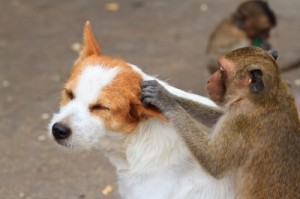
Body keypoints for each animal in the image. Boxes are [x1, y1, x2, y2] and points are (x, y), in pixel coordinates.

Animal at [141, 47, 300, 199]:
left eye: (222, 70)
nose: (209, 80)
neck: (266, 97)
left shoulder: (239, 120)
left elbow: (213, 163)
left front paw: (165, 100)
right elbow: (217, 118)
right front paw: (172, 95)